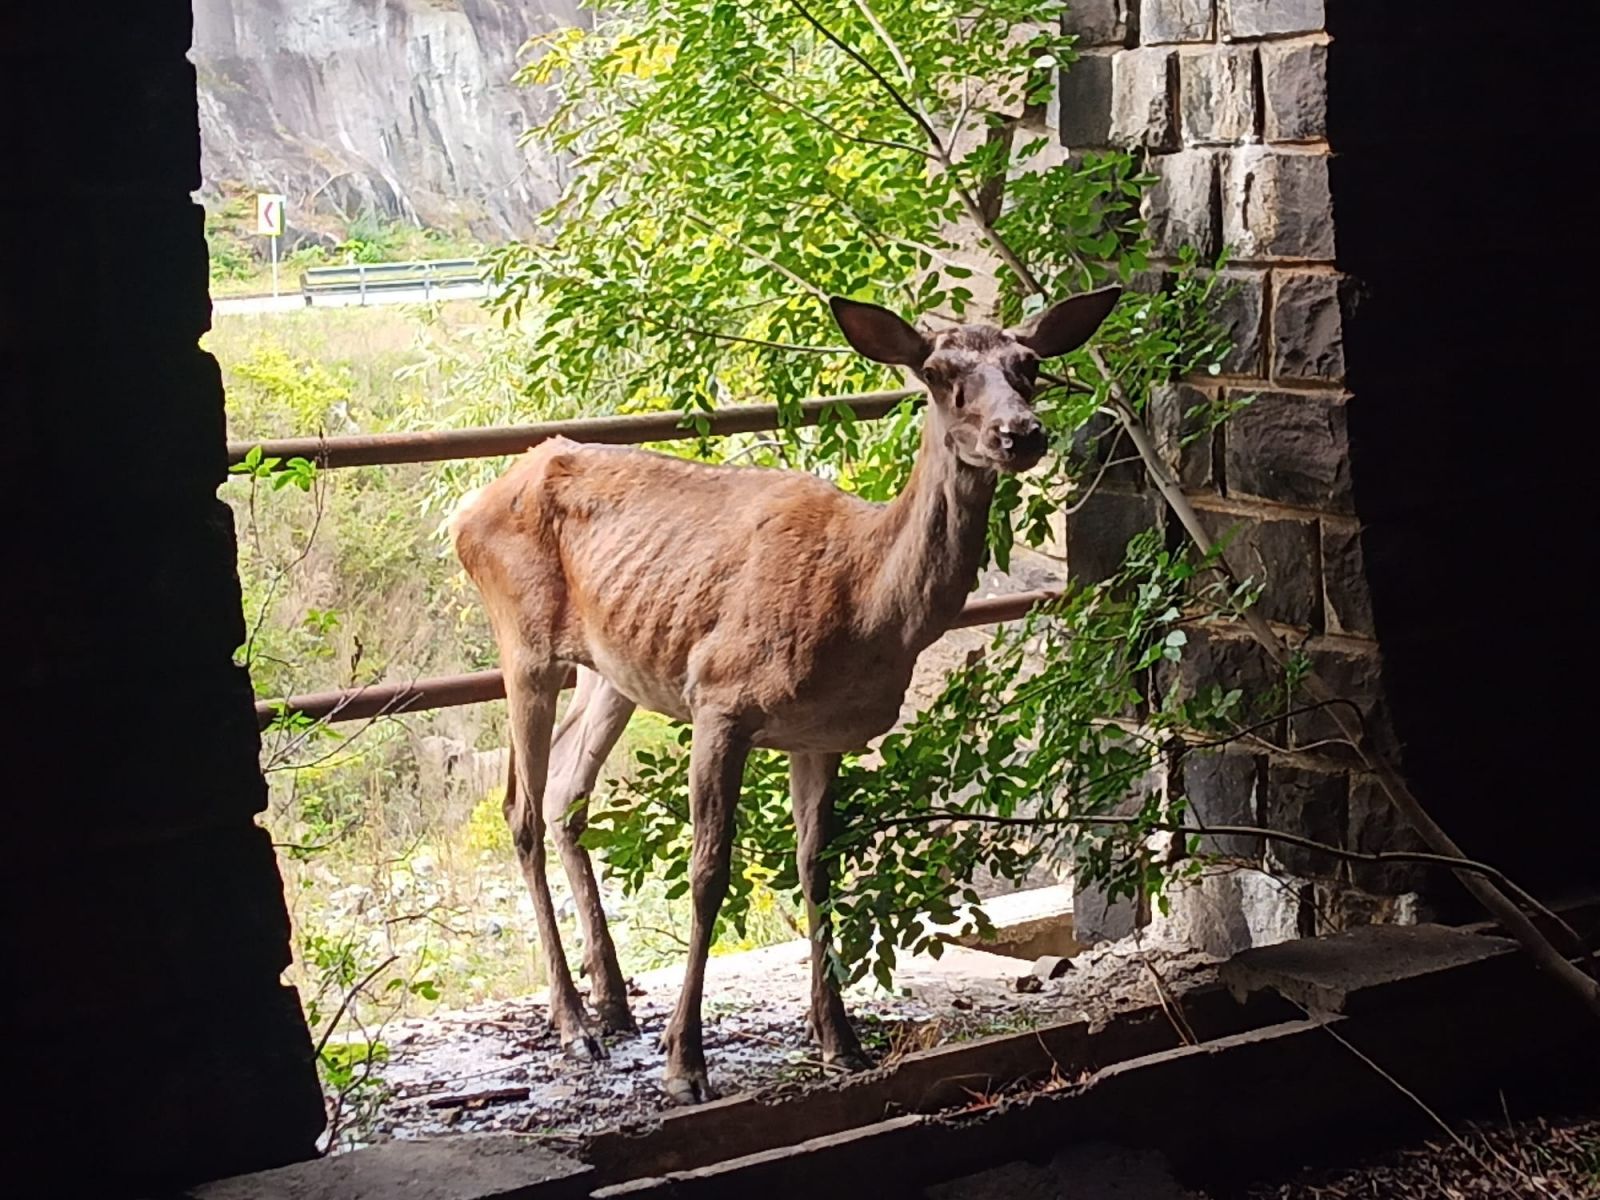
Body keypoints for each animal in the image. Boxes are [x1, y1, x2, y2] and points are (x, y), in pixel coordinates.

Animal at [451, 286, 1126, 1107]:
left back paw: (612, 1002)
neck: (865, 606)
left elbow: (817, 869)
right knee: (518, 809)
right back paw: (575, 1026)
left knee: (564, 798)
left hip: (613, 670)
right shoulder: (721, 697)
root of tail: (465, 510)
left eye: (1028, 364)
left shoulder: (822, 735)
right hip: (521, 642)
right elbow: (709, 873)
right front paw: (686, 1063)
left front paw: (841, 1042)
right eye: (937, 373)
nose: (1019, 433)